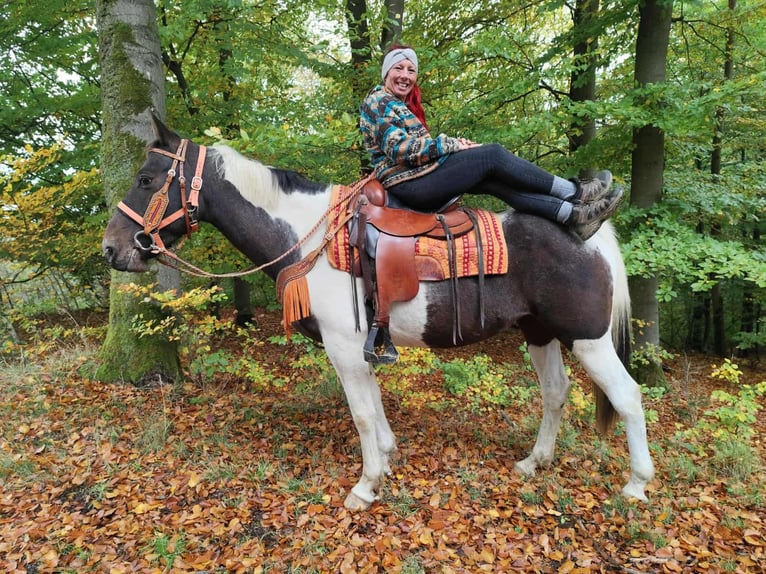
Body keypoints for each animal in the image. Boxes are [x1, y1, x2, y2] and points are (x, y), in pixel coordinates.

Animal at [102, 115, 654, 511]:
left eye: (146, 178)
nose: (112, 249)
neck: (311, 237)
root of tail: (590, 237)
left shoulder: (344, 347)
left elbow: (363, 414)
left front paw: (365, 487)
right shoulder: (361, 345)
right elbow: (376, 410)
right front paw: (385, 464)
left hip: (588, 338)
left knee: (628, 396)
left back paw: (635, 484)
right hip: (539, 333)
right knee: (556, 393)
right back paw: (535, 462)